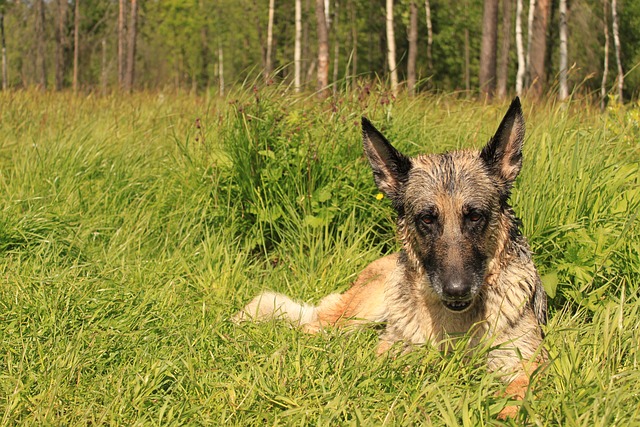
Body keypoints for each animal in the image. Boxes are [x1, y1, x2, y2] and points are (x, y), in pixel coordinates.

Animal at [232, 96, 548, 418]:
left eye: (474, 216)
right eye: (427, 219)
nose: (456, 290)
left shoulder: (527, 363)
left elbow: (515, 396)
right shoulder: (392, 353)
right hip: (360, 312)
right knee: (314, 329)